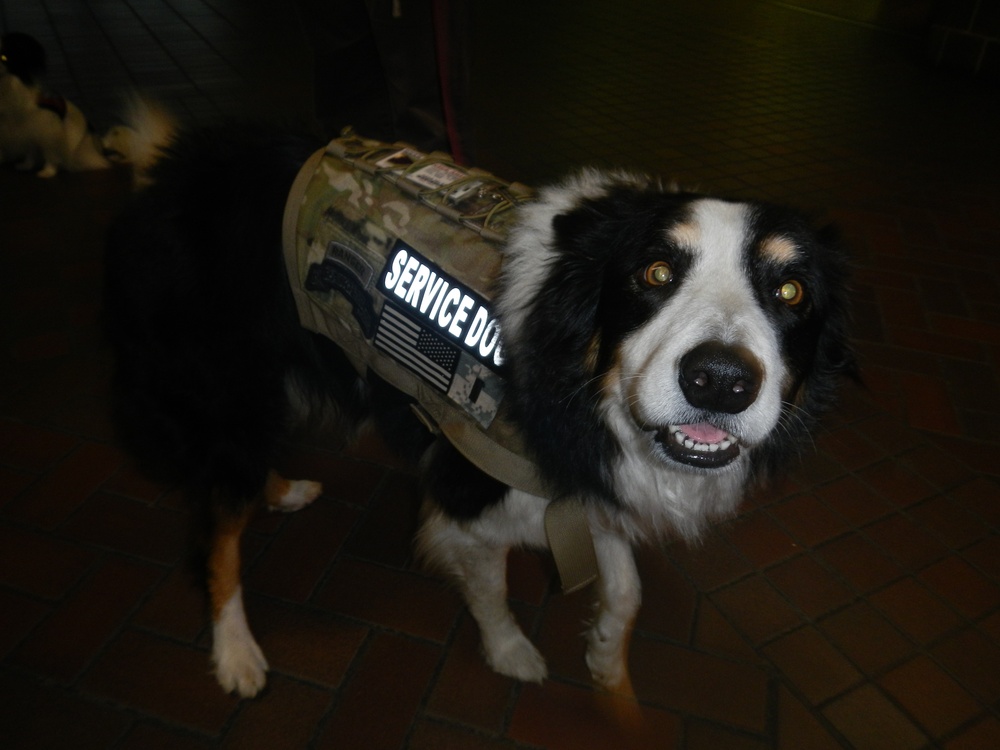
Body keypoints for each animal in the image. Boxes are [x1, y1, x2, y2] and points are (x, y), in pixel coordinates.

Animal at [0, 33, 114, 178]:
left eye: (4, 57)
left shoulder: (47, 130)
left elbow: (49, 154)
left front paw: (48, 172)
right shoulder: (26, 130)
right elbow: (30, 150)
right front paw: (26, 165)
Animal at [103, 122, 852, 700]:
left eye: (790, 291)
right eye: (655, 274)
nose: (720, 382)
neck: (573, 377)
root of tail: (170, 168)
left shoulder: (583, 479)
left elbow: (627, 587)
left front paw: (606, 657)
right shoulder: (470, 489)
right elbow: (490, 587)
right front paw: (510, 652)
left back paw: (283, 489)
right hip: (227, 397)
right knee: (217, 532)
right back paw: (236, 652)